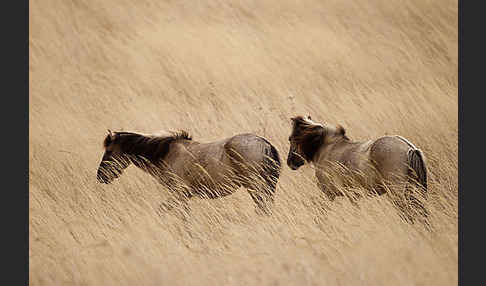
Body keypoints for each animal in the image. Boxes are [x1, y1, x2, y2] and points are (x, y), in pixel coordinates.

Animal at [96, 129, 280, 214]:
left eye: (109, 151)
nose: (100, 177)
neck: (167, 153)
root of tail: (265, 144)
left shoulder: (180, 194)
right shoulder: (184, 197)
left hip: (255, 187)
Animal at [286, 115, 428, 225]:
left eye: (290, 138)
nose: (290, 162)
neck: (326, 148)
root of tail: (409, 148)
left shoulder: (329, 194)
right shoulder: (353, 195)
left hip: (398, 192)